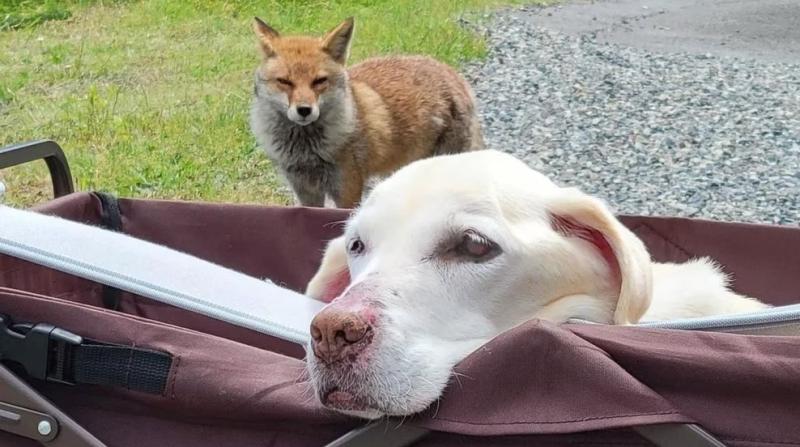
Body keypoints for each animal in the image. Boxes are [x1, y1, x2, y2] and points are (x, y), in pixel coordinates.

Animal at [249, 17, 484, 208]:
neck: (306, 150)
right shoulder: (305, 189)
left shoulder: (347, 187)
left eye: (319, 81)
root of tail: (453, 73)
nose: (305, 110)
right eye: (285, 82)